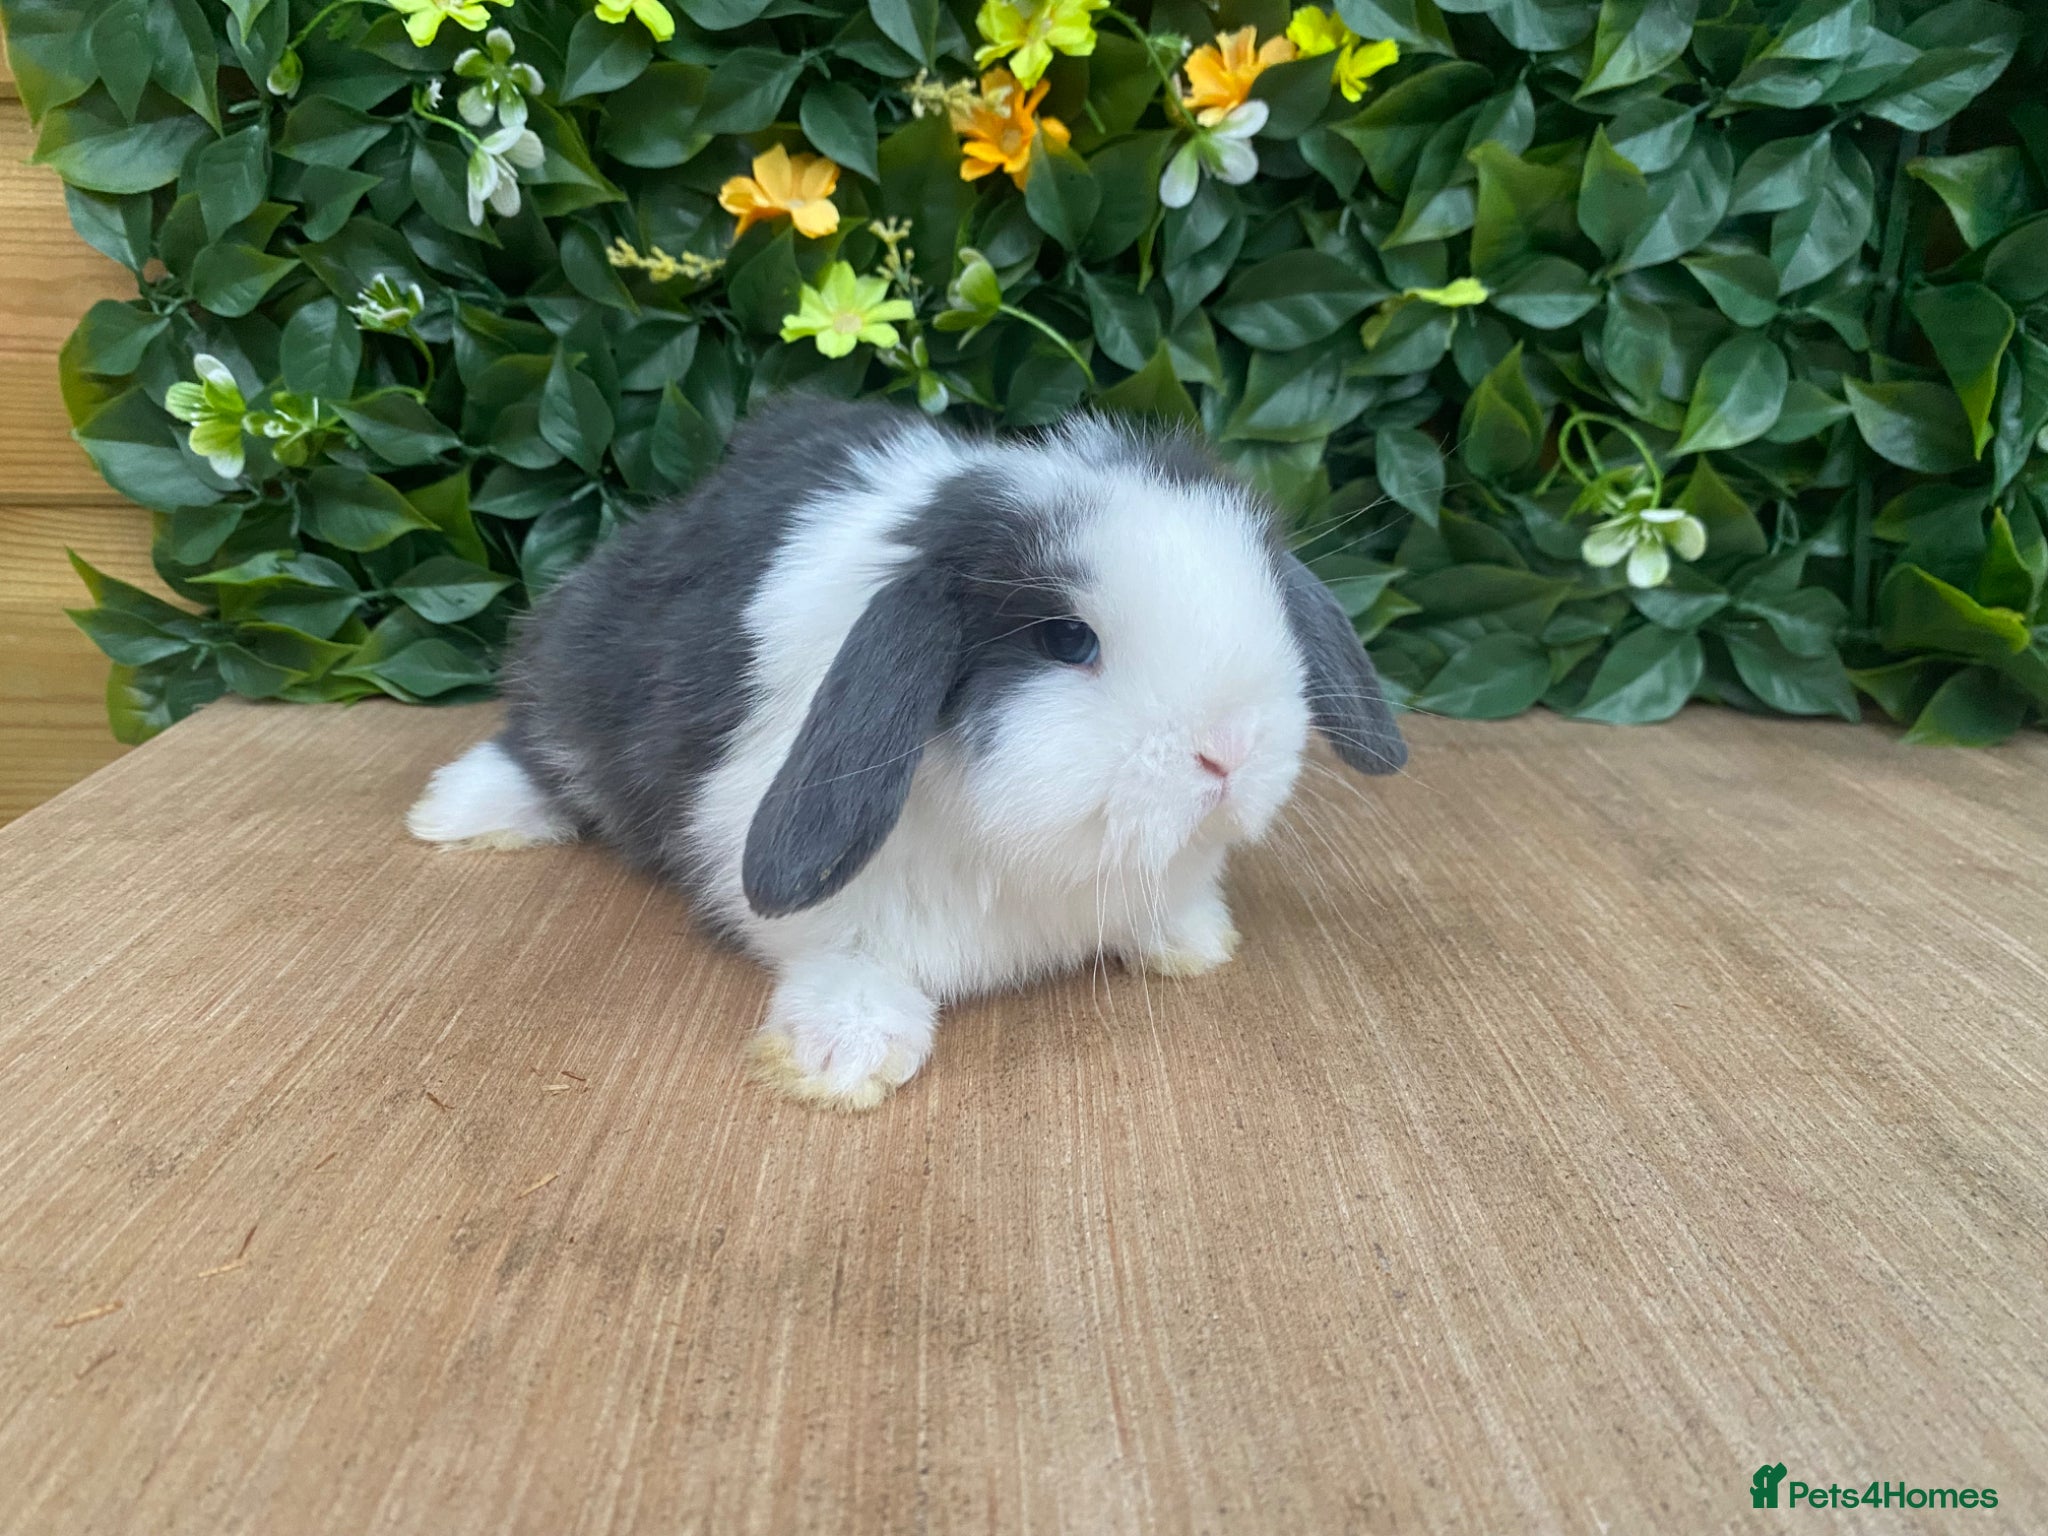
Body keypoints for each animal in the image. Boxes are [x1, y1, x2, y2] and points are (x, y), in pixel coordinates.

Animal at [407, 398, 1406, 1109]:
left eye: (1262, 592)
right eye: (1066, 639)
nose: (1229, 751)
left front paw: (1191, 938)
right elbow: (844, 954)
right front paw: (845, 1054)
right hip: (578, 656)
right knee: (540, 740)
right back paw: (461, 812)